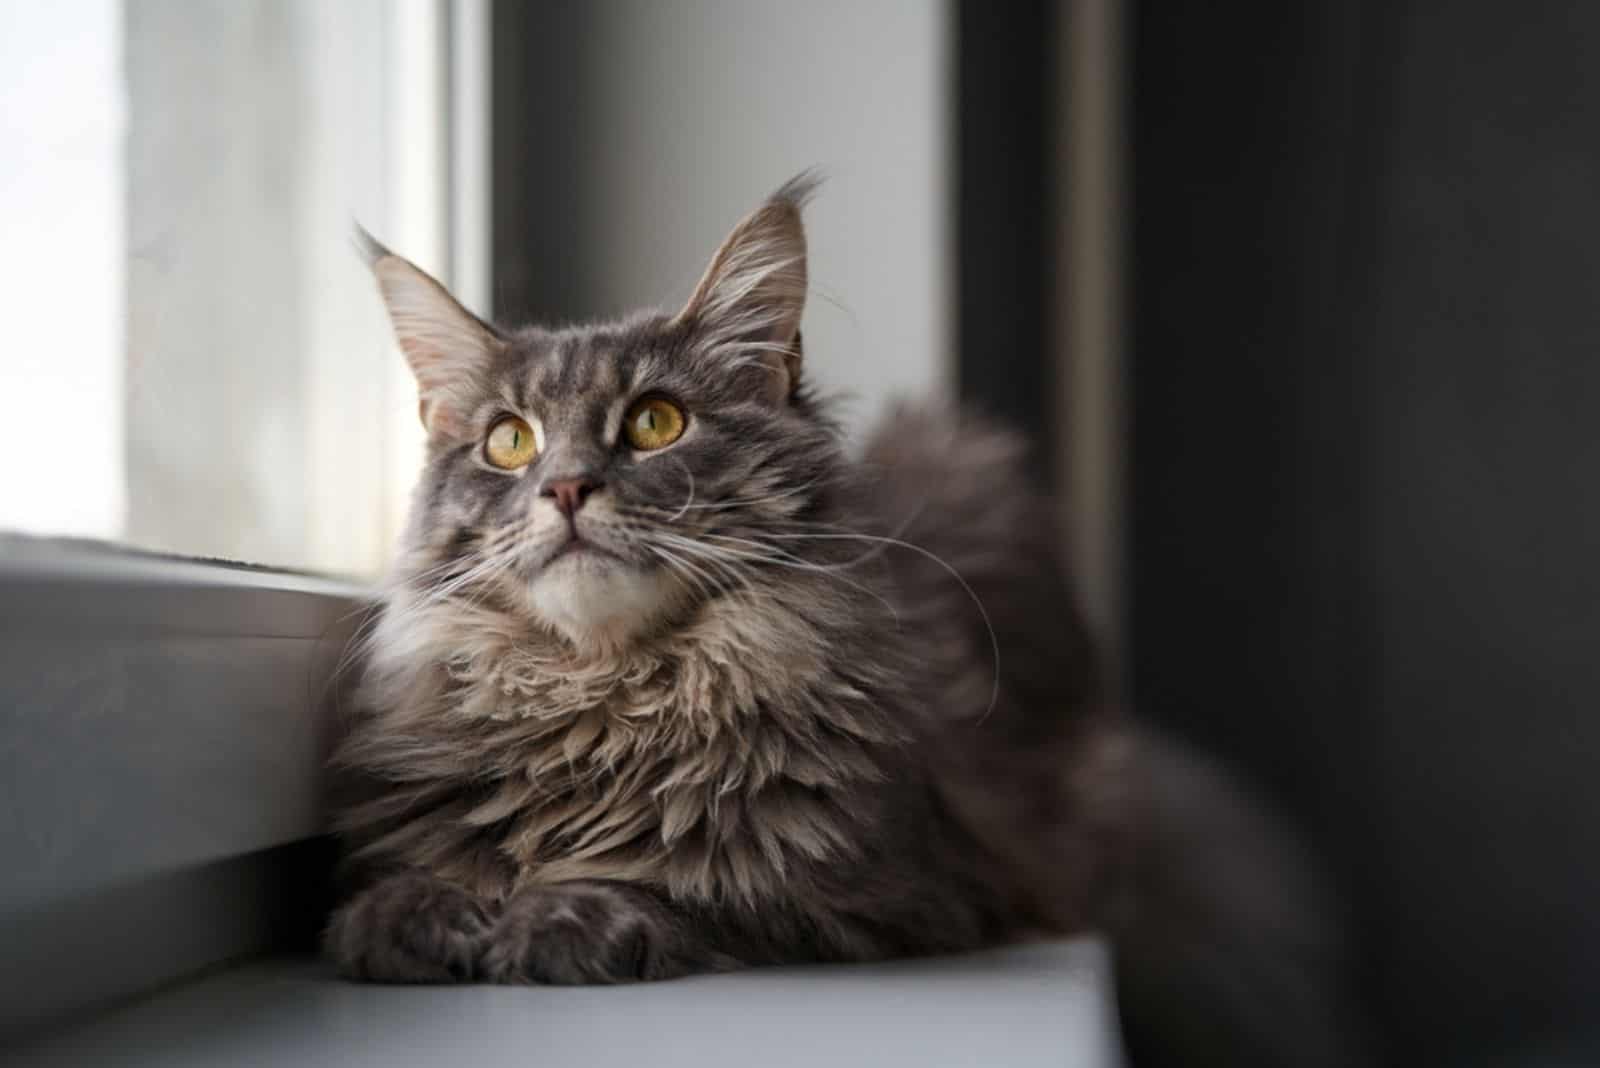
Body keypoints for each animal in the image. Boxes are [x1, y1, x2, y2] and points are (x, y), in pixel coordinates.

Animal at [328, 177, 1363, 1068]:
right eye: (509, 443)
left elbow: (686, 883)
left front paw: (563, 914)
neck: (609, 696)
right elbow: (430, 879)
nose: (567, 487)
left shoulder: (902, 890)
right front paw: (408, 912)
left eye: (657, 422)